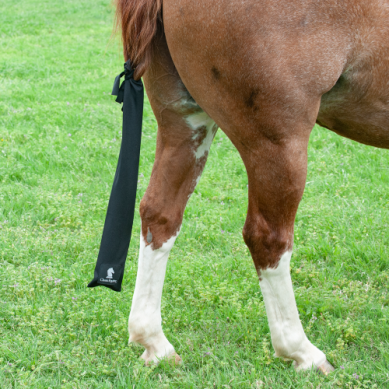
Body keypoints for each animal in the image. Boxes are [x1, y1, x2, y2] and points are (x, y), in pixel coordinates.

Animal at [115, 0, 388, 372]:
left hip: (185, 123)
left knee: (159, 214)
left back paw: (154, 341)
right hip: (277, 142)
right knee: (267, 239)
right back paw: (301, 351)